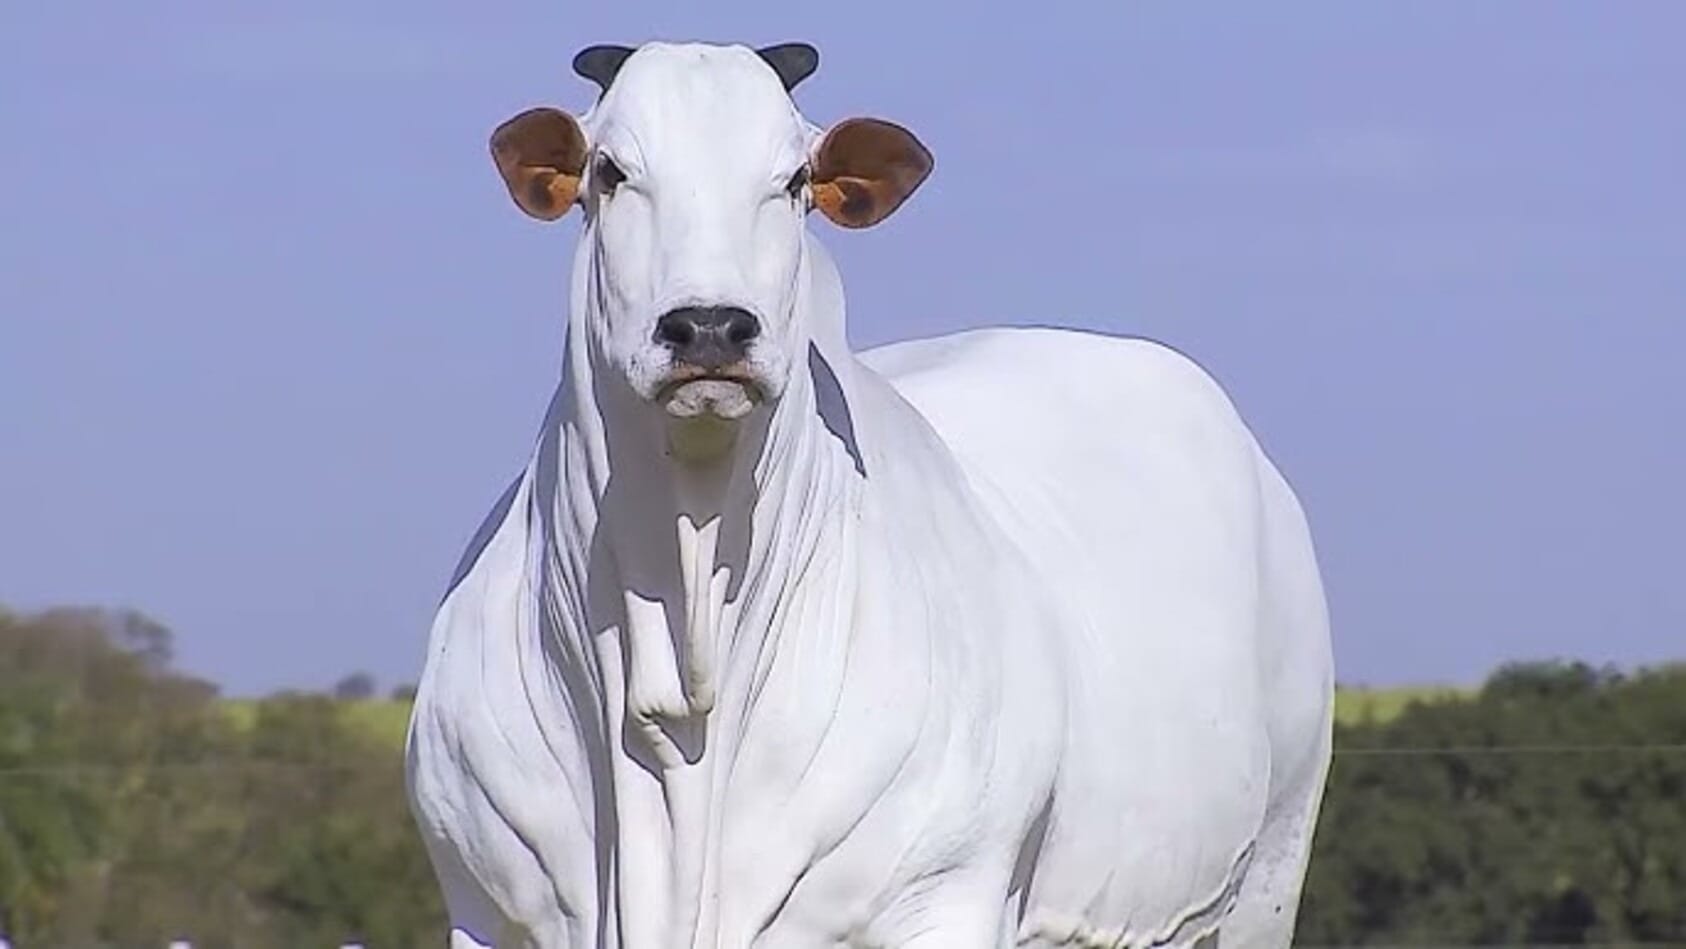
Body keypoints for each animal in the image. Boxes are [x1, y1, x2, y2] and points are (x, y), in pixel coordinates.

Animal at [405, 40, 1334, 949]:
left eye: (794, 180)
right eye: (610, 170)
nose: (709, 327)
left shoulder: (945, 895)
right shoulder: (483, 911)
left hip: (1272, 868)